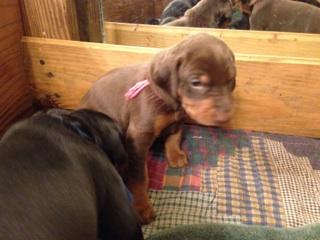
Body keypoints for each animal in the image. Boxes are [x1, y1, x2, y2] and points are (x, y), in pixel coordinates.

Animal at [79, 32, 236, 224]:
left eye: (231, 80)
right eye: (196, 82)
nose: (225, 117)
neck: (166, 100)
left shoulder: (179, 118)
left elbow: (174, 136)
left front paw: (176, 154)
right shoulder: (138, 136)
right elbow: (139, 176)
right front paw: (141, 206)